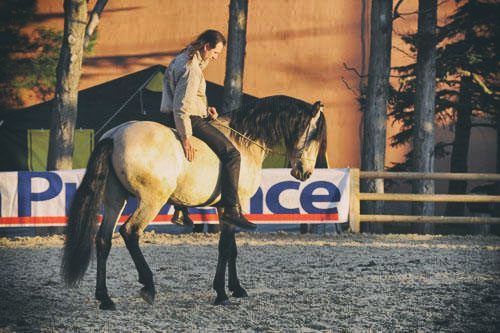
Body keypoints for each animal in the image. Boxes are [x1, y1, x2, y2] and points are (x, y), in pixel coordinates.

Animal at [60, 93, 328, 308]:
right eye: (314, 135)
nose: (306, 173)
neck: (243, 141)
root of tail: (115, 135)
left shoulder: (226, 209)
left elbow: (232, 249)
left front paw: (236, 288)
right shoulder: (235, 205)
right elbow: (225, 247)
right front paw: (221, 293)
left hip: (116, 200)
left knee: (103, 240)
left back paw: (105, 298)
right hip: (151, 201)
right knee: (130, 233)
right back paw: (148, 285)